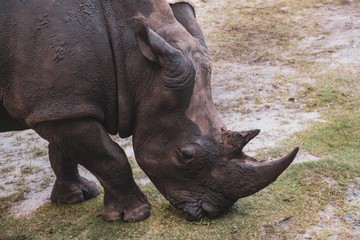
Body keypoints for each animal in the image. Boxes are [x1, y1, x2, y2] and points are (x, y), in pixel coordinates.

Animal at [0, 0, 298, 221]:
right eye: (186, 155)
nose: (212, 212)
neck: (130, 55)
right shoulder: (60, 107)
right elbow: (109, 157)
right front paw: (134, 216)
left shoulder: (61, 103)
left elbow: (62, 149)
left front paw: (75, 197)